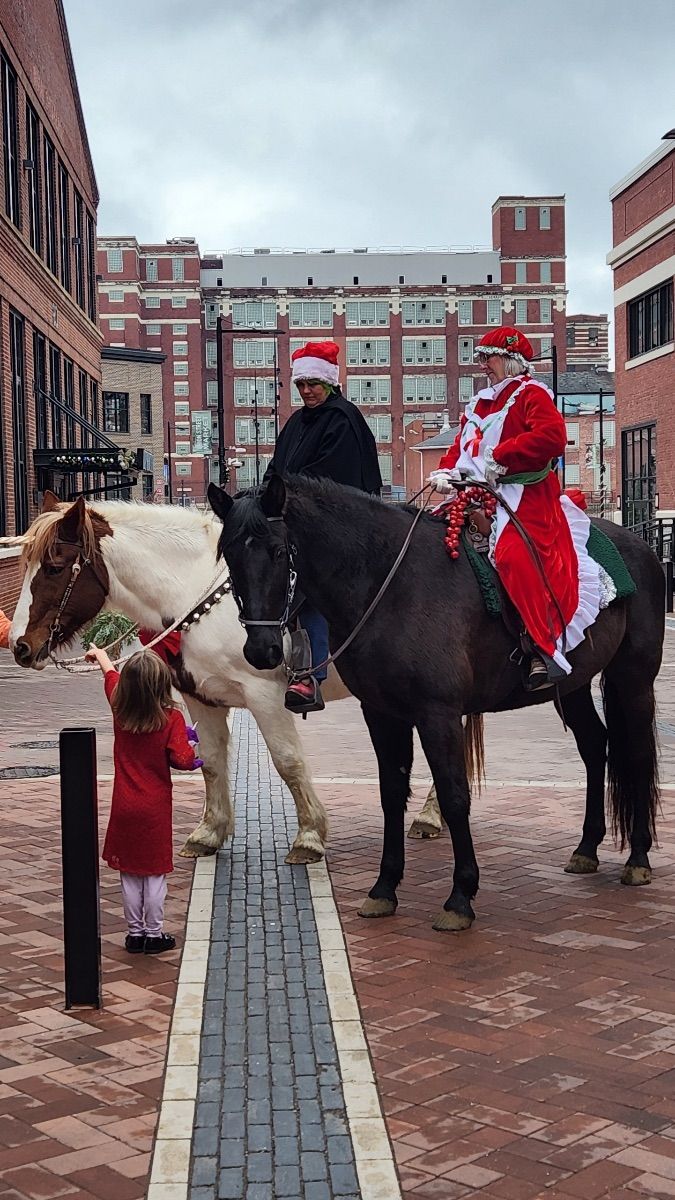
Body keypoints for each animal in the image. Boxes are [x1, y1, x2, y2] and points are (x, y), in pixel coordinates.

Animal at [206, 472, 662, 931]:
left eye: (280, 551)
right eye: (229, 555)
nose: (261, 650)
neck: (390, 583)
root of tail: (640, 545)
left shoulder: (437, 714)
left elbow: (454, 794)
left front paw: (460, 896)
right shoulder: (381, 713)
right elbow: (392, 793)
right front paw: (384, 888)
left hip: (633, 677)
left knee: (639, 753)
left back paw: (638, 858)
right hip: (573, 685)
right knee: (595, 747)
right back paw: (586, 848)